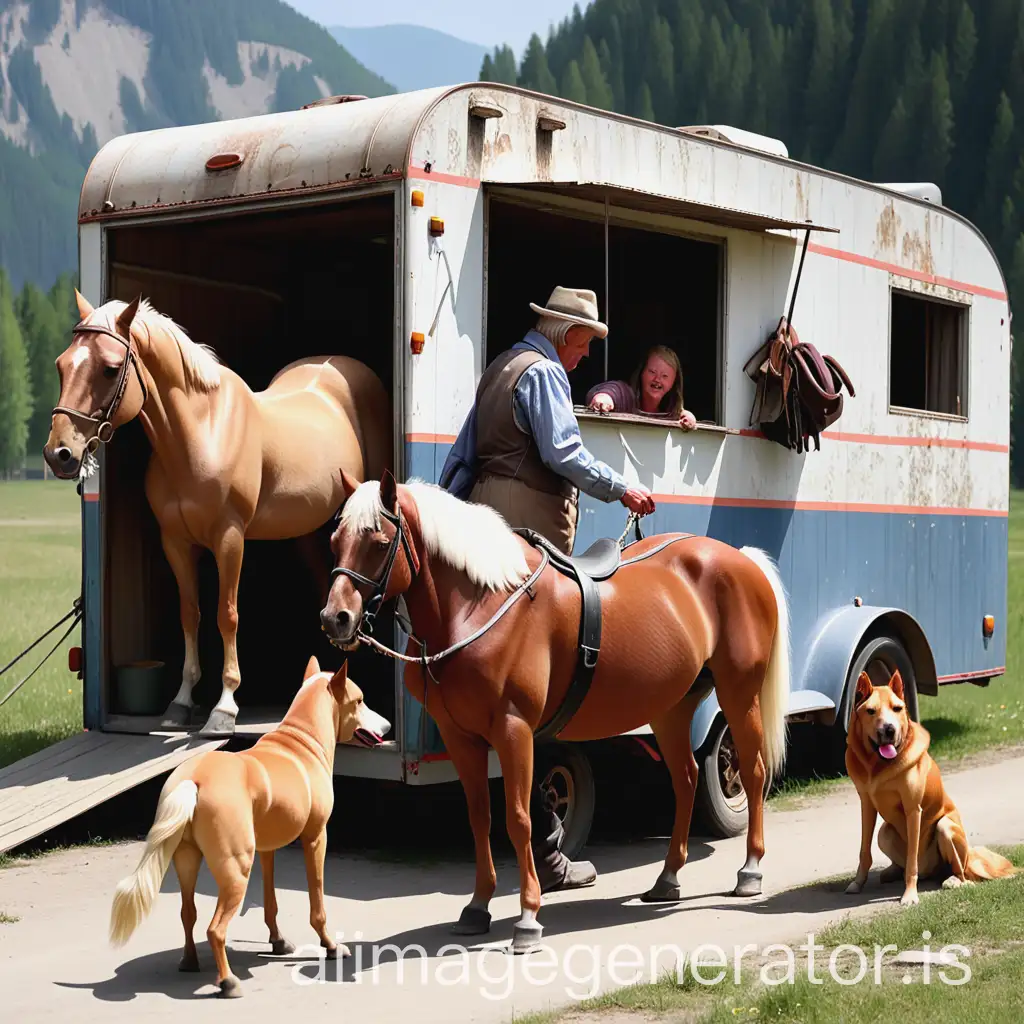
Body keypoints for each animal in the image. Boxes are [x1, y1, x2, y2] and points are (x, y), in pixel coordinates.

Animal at [43, 292, 391, 741]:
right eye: (61, 364)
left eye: (110, 367)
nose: (59, 453)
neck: (200, 433)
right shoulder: (175, 541)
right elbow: (190, 613)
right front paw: (181, 703)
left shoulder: (229, 539)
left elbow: (227, 615)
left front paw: (223, 709)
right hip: (310, 529)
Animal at [108, 655, 387, 999]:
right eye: (359, 701)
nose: (387, 727)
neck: (300, 744)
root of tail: (193, 780)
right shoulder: (315, 838)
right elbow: (317, 902)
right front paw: (332, 947)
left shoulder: (267, 850)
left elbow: (270, 901)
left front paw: (278, 942)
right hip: (236, 870)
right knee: (215, 929)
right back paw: (228, 982)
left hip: (187, 860)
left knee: (188, 913)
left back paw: (189, 962)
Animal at [321, 471, 790, 950]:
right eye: (336, 540)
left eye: (380, 542)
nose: (335, 618)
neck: (482, 605)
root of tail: (741, 560)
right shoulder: (461, 737)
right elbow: (479, 818)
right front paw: (477, 906)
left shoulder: (513, 732)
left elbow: (519, 819)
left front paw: (528, 916)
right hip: (672, 708)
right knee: (687, 780)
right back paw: (668, 878)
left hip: (739, 693)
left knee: (752, 772)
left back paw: (750, 869)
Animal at [839, 671, 1015, 905]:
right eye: (871, 711)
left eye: (897, 708)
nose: (889, 730)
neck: (877, 765)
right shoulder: (867, 806)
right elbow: (863, 852)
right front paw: (858, 883)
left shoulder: (914, 810)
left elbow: (911, 859)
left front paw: (909, 895)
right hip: (885, 831)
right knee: (899, 858)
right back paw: (892, 872)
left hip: (946, 828)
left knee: (961, 872)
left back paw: (953, 880)